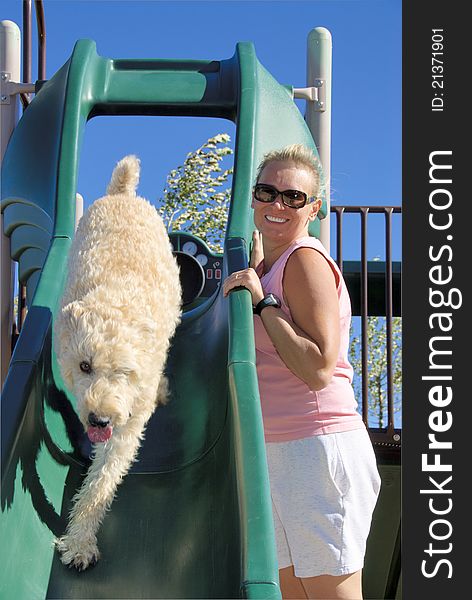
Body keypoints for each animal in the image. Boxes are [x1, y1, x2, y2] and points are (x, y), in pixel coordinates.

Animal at [54, 156, 182, 572]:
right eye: (84, 366)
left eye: (125, 372)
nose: (98, 420)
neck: (115, 297)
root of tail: (122, 193)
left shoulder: (129, 421)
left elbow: (103, 479)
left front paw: (79, 542)